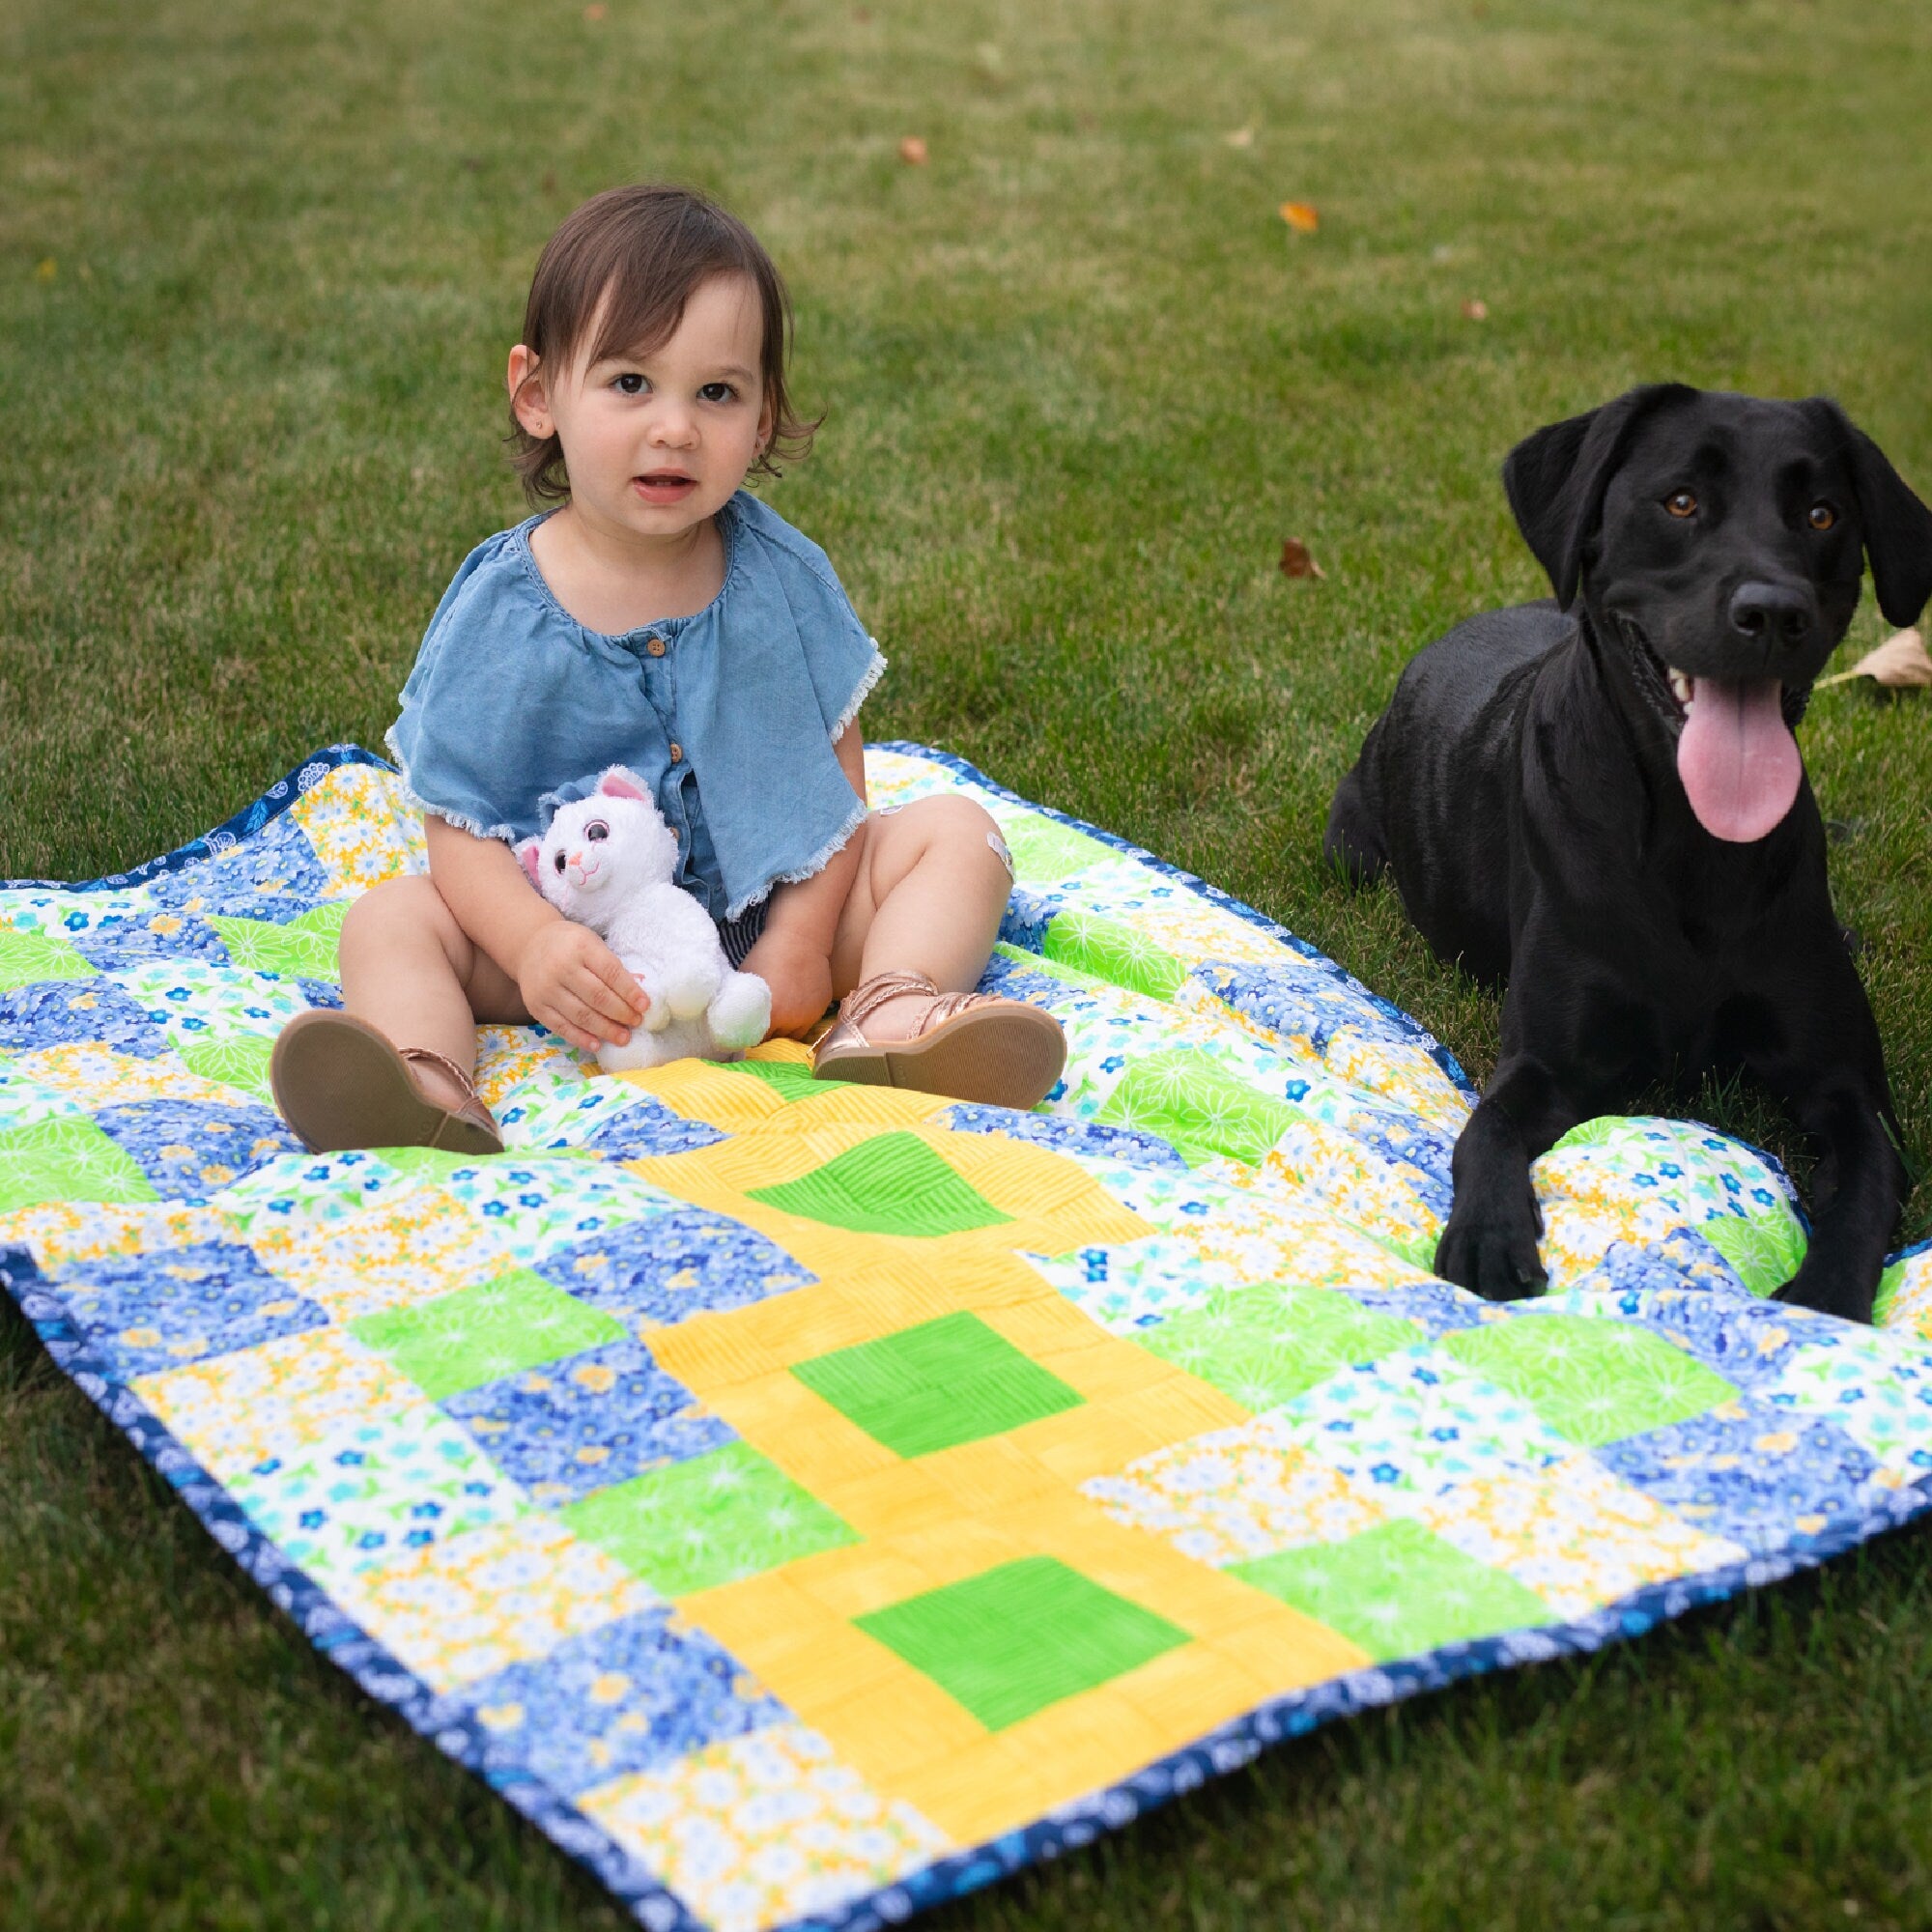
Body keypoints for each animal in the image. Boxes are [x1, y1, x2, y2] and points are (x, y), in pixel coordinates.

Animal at [1329, 392, 1932, 1329]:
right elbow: (1484, 1130)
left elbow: (1869, 1181)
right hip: (1353, 851)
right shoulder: (1544, 1063)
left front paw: (1824, 1296)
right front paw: (1488, 1240)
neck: (1693, 844)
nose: (1774, 613)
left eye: (1822, 514)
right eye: (1680, 502)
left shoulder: (1844, 1084)